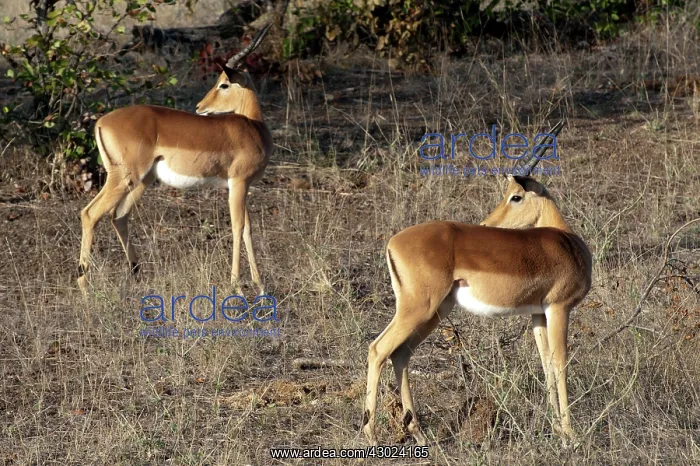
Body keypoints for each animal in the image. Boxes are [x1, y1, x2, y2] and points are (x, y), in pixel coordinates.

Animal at [77, 23, 273, 295]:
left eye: (223, 84)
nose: (200, 106)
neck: (254, 127)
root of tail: (100, 122)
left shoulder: (241, 186)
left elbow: (247, 229)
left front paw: (261, 286)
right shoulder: (239, 183)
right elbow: (238, 227)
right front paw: (237, 287)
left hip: (142, 181)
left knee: (118, 215)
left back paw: (136, 274)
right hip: (125, 178)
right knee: (90, 214)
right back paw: (85, 288)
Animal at [362, 121, 592, 445]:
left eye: (515, 196)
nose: (485, 224)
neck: (566, 242)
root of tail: (393, 242)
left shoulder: (538, 313)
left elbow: (546, 363)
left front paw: (557, 428)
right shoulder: (559, 308)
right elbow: (561, 364)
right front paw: (570, 435)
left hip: (435, 311)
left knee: (401, 353)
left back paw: (418, 432)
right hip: (419, 308)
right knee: (378, 349)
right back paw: (371, 434)